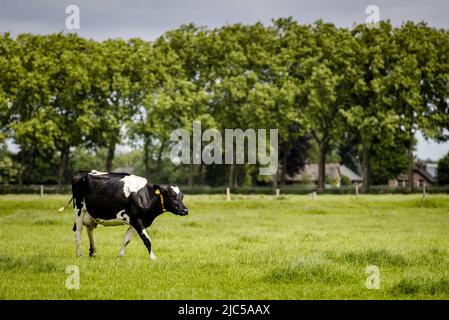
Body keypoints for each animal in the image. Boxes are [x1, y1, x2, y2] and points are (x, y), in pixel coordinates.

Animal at [58, 171, 187, 258]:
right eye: (172, 196)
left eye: (182, 196)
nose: (185, 210)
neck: (145, 196)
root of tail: (82, 173)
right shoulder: (136, 220)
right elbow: (147, 239)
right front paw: (153, 258)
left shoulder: (139, 221)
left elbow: (126, 239)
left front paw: (120, 256)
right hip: (79, 209)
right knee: (78, 231)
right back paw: (79, 254)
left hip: (91, 213)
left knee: (89, 229)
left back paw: (93, 252)